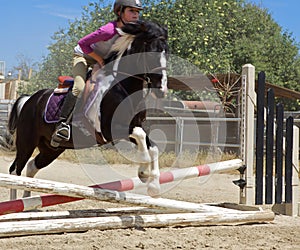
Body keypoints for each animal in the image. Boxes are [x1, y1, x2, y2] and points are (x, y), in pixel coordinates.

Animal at [8, 20, 168, 199]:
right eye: (152, 53)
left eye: (167, 53)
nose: (162, 90)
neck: (123, 87)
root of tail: (30, 99)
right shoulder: (109, 130)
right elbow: (141, 137)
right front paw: (144, 172)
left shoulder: (133, 125)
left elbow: (152, 146)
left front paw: (153, 185)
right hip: (27, 142)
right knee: (15, 170)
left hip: (51, 148)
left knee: (31, 167)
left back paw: (27, 199)